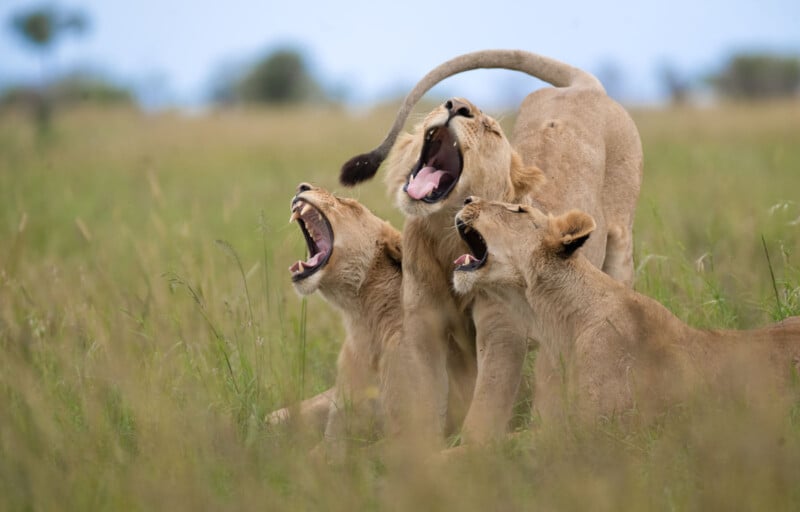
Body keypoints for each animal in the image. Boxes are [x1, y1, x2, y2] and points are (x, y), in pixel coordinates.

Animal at [338, 50, 643, 445]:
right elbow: (423, 399)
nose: (456, 106)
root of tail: (583, 88)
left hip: (621, 244)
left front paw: (471, 452)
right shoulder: (423, 327)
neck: (446, 236)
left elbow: (486, 407)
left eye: (492, 130)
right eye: (445, 103)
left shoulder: (502, 332)